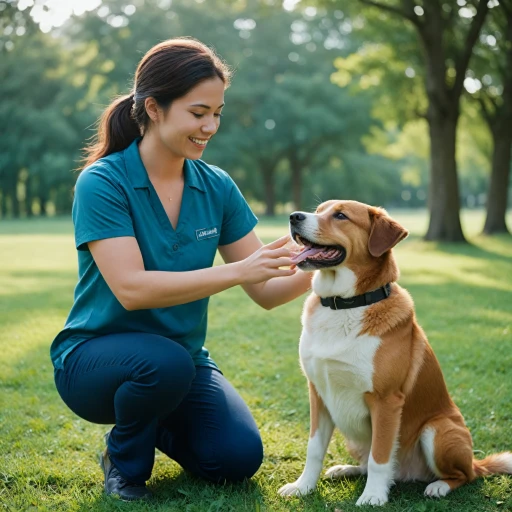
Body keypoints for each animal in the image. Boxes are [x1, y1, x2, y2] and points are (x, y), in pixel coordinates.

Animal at [280, 199, 512, 504]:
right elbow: (315, 449)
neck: (346, 304)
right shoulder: (318, 394)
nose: (294, 217)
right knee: (365, 463)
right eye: (318, 210)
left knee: (465, 475)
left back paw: (439, 485)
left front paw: (373, 497)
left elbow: (380, 456)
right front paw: (303, 486)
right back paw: (345, 469)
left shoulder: (386, 401)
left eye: (340, 215)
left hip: (438, 430)